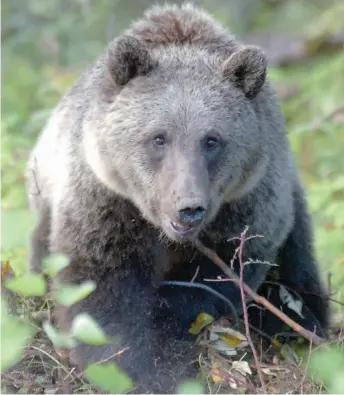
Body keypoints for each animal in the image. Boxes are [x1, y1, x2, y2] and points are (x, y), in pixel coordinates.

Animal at [26, 2, 328, 392]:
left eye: (212, 140)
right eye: (159, 138)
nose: (189, 208)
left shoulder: (246, 206)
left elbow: (214, 283)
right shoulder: (105, 200)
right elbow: (99, 287)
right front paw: (137, 366)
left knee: (297, 284)